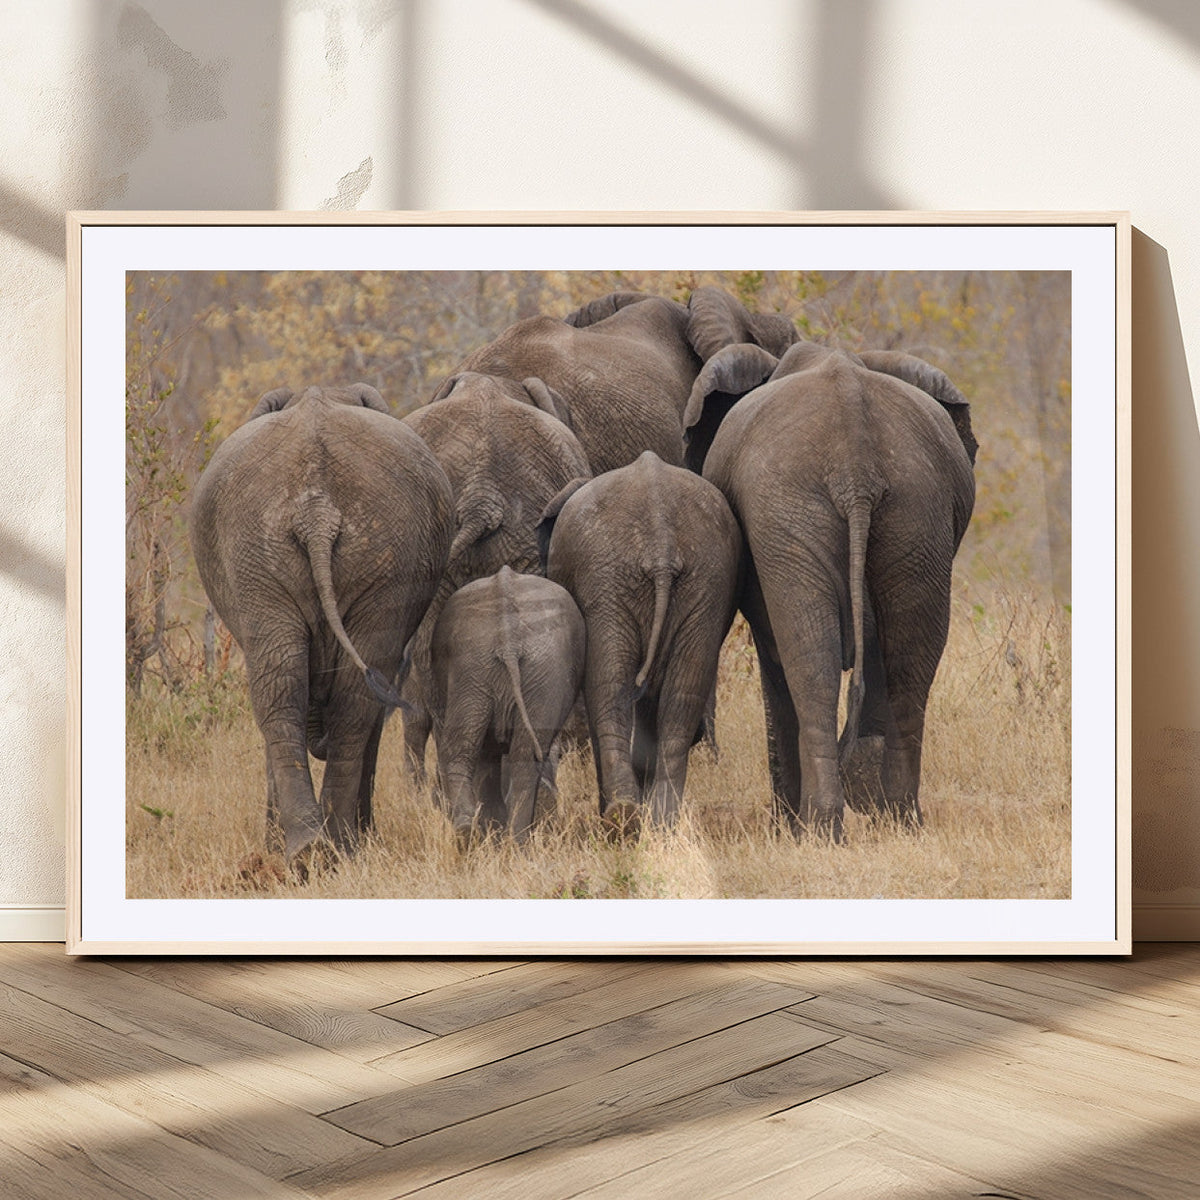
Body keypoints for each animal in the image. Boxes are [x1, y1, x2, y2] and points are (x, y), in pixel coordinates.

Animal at [190, 382, 453, 869]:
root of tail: (317, 511)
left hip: (333, 551)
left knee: (301, 690)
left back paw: (324, 848)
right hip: (279, 551)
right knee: (310, 688)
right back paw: (318, 849)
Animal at [430, 567, 586, 843]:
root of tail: (508, 637)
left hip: (487, 668)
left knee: (472, 749)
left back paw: (482, 837)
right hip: (513, 669)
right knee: (506, 753)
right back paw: (496, 838)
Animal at [538, 451, 743, 830]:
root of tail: (661, 541)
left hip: (609, 582)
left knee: (609, 689)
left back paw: (622, 818)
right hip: (704, 580)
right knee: (679, 696)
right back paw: (657, 821)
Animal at [688, 340, 978, 838]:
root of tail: (855, 459)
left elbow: (774, 653)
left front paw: (788, 825)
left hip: (790, 507)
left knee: (808, 659)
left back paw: (819, 829)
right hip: (915, 509)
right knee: (907, 661)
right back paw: (900, 820)